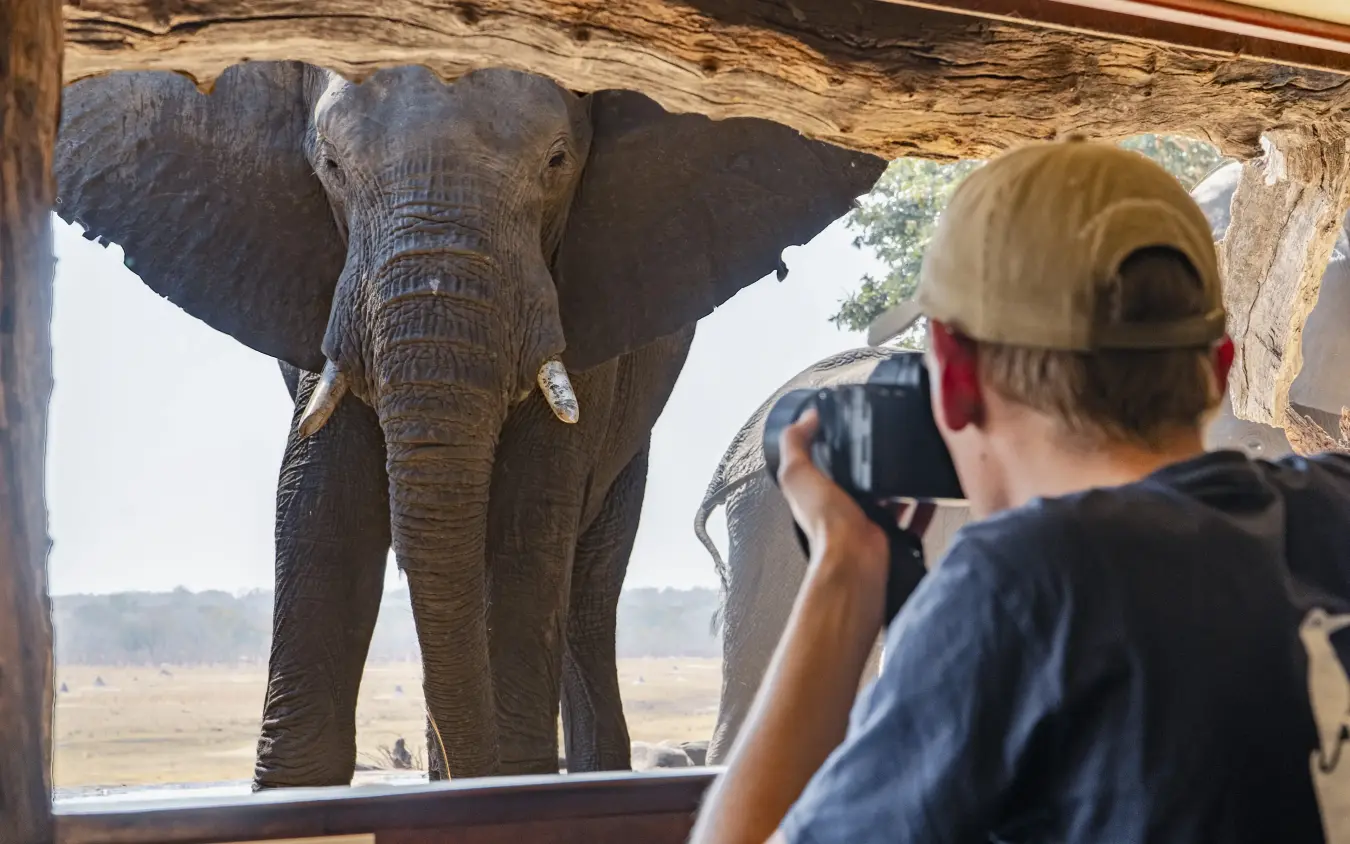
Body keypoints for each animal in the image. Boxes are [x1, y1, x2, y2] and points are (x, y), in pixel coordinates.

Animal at [53, 61, 886, 784]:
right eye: (330, 167)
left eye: (557, 161)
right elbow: (320, 505)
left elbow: (525, 522)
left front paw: (512, 776)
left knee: (583, 591)